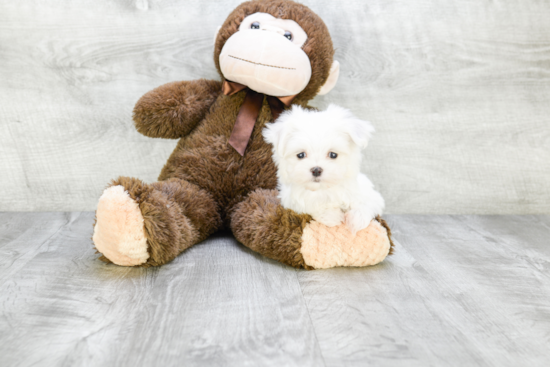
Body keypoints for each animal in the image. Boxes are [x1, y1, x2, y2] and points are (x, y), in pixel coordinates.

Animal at [264, 103, 386, 236]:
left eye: (333, 154)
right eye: (300, 155)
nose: (316, 170)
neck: (325, 189)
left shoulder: (369, 194)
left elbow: (366, 202)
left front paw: (356, 220)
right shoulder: (291, 201)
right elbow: (311, 205)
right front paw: (331, 216)